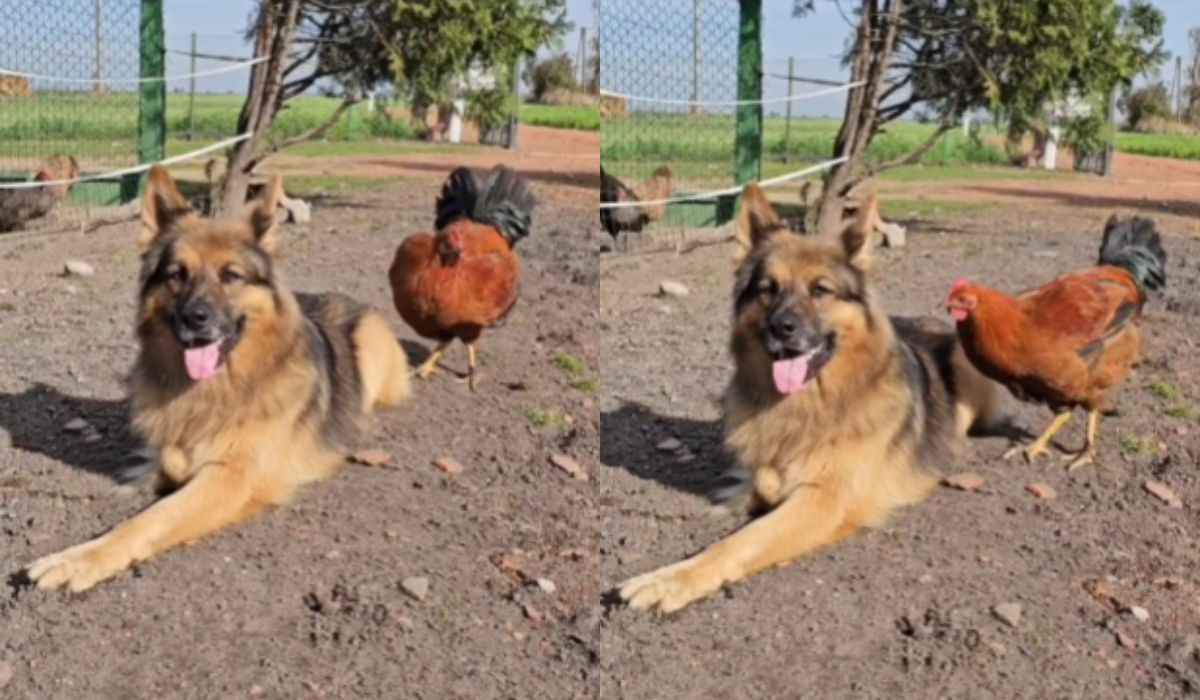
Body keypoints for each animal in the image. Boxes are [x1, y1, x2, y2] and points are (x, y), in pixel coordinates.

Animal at [25, 166, 410, 595]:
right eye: (177, 275)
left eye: (232, 275)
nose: (195, 318)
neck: (213, 391)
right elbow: (162, 465)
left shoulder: (232, 476)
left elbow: (151, 519)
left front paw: (79, 558)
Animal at [619, 184, 1003, 614]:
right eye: (768, 289)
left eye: (821, 290)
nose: (780, 328)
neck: (806, 405)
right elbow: (760, 480)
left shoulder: (825, 499)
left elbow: (741, 542)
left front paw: (670, 580)